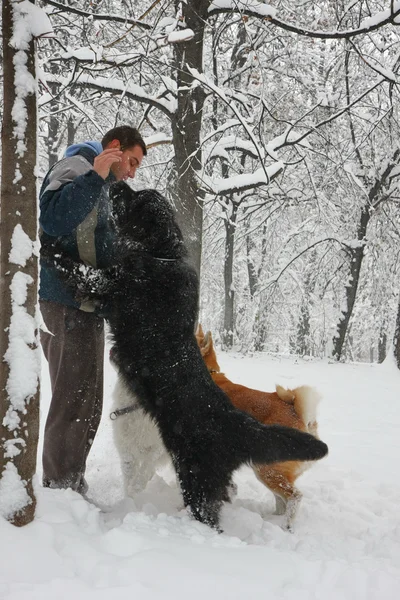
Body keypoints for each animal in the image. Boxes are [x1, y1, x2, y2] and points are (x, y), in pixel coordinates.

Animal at [195, 326, 324, 528]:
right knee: (281, 501)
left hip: (266, 469)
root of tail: (301, 416)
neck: (209, 373)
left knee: (294, 497)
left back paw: (285, 526)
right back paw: (272, 520)